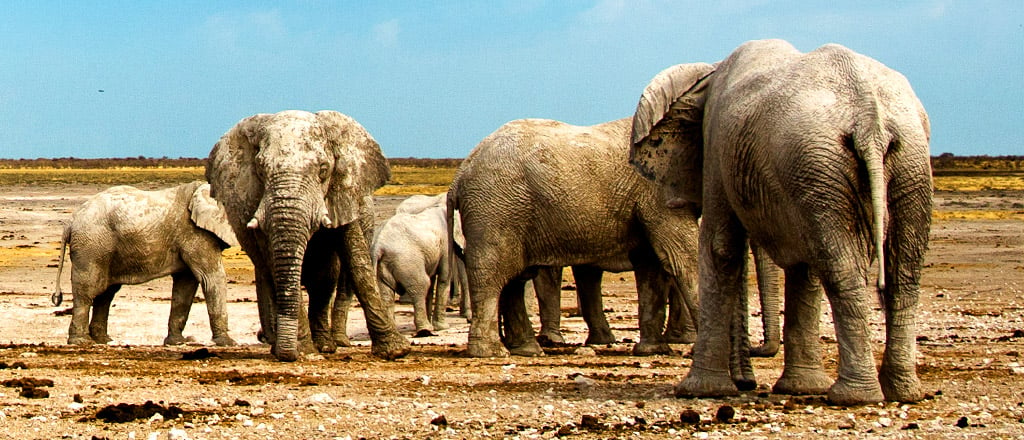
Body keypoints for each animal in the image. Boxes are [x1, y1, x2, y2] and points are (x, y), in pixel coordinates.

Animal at [55, 180, 240, 345]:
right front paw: (228, 342)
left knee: (106, 293)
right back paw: (81, 342)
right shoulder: (196, 234)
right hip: (91, 246)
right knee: (87, 292)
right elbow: (211, 278)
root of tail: (71, 221)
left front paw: (177, 342)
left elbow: (185, 286)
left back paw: (103, 340)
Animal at [205, 110, 409, 360]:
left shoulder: (342, 193)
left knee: (326, 277)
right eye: (261, 170)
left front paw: (395, 351)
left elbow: (357, 261)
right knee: (271, 274)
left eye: (323, 170)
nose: (290, 354)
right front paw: (302, 350)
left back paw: (326, 346)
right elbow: (275, 262)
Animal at [450, 116, 704, 358]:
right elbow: (682, 258)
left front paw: (653, 350)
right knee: (493, 275)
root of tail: (461, 173)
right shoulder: (658, 191)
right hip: (494, 209)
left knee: (515, 279)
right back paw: (493, 352)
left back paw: (528, 350)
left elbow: (651, 265)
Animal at [626, 38, 933, 405]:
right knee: (903, 271)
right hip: (899, 159)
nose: (748, 379)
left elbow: (720, 247)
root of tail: (867, 116)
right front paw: (799, 387)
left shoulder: (715, 143)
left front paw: (699, 391)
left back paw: (854, 396)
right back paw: (902, 392)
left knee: (843, 268)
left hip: (833, 160)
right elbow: (802, 264)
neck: (707, 73)